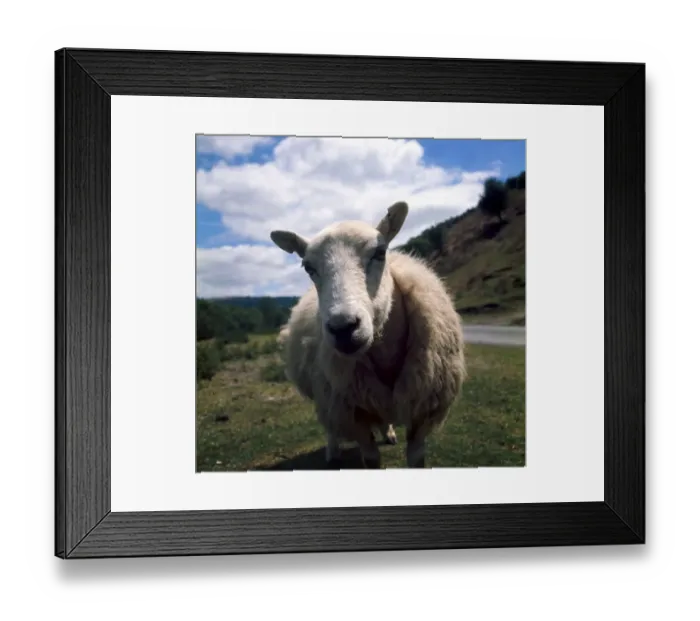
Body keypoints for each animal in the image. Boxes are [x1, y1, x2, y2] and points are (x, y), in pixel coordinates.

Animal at [270, 201, 466, 469]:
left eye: (380, 253)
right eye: (308, 267)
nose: (343, 327)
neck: (385, 353)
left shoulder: (422, 412)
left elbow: (416, 459)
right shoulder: (352, 415)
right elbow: (371, 458)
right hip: (327, 395)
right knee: (330, 426)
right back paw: (333, 451)